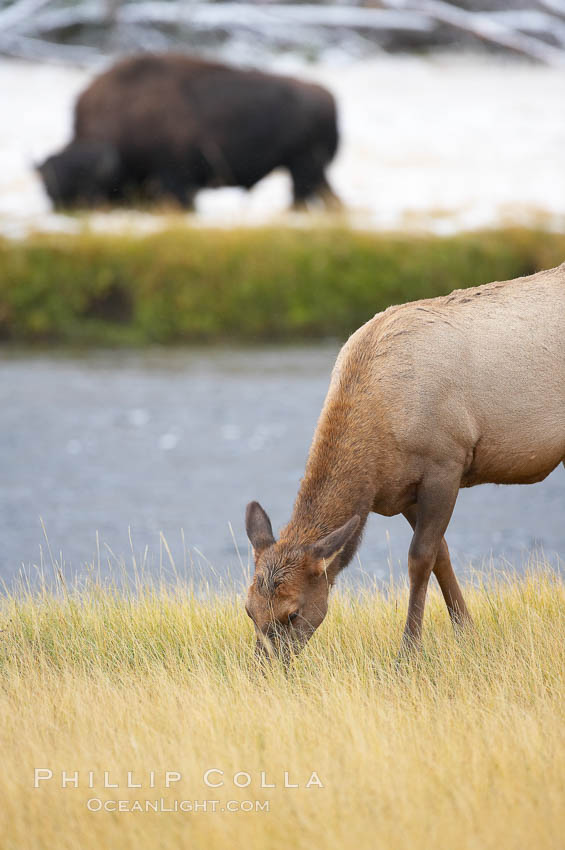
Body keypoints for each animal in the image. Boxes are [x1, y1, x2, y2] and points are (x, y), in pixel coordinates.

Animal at [39, 53, 342, 211]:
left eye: (81, 186)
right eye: (47, 190)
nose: (61, 212)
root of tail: (326, 95)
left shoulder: (175, 181)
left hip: (303, 168)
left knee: (303, 199)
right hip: (311, 171)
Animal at [245, 262, 564, 660]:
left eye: (292, 613)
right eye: (249, 610)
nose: (263, 667)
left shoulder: (445, 464)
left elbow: (420, 559)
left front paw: (408, 652)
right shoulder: (403, 490)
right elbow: (442, 555)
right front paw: (468, 635)